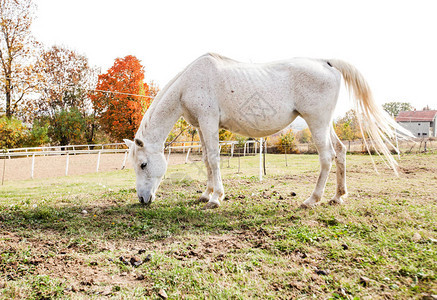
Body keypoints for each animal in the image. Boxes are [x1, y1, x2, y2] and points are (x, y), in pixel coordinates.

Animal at [123, 52, 412, 209]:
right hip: (325, 122)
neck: (189, 82)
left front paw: (216, 198)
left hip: (316, 122)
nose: (142, 199)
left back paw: (313, 199)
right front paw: (206, 193)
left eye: (143, 165)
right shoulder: (203, 127)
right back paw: (338, 197)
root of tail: (326, 62)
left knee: (327, 157)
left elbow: (214, 160)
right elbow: (206, 159)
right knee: (340, 152)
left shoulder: (208, 121)